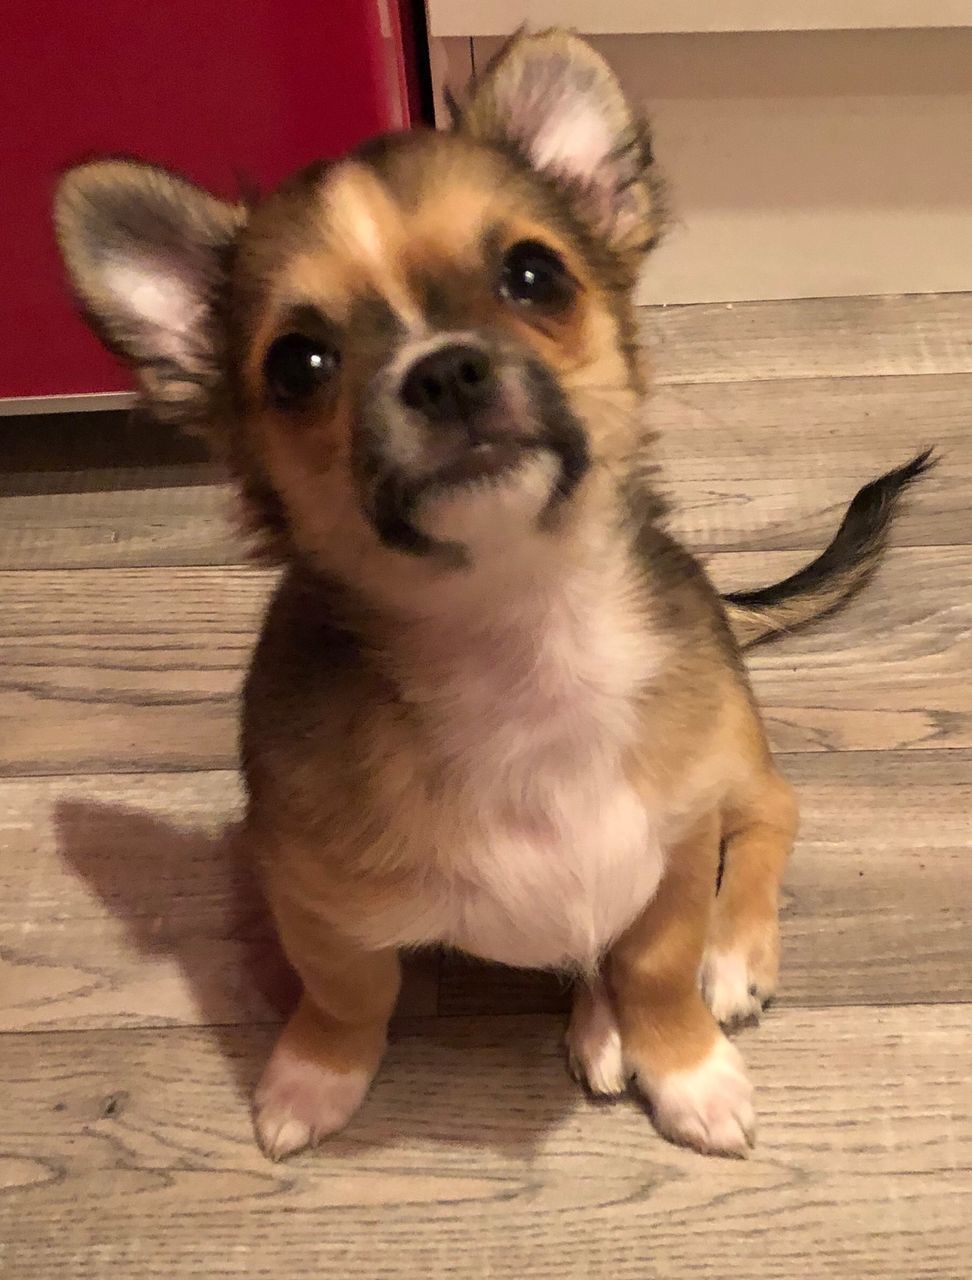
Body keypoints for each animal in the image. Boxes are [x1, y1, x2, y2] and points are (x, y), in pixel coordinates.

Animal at [55, 32, 937, 1162]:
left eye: (533, 274)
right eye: (298, 362)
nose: (445, 372)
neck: (524, 641)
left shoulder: (676, 844)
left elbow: (658, 965)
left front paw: (688, 1070)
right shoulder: (311, 897)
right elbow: (347, 994)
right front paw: (312, 1075)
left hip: (730, 762)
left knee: (774, 813)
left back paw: (732, 955)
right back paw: (598, 1022)